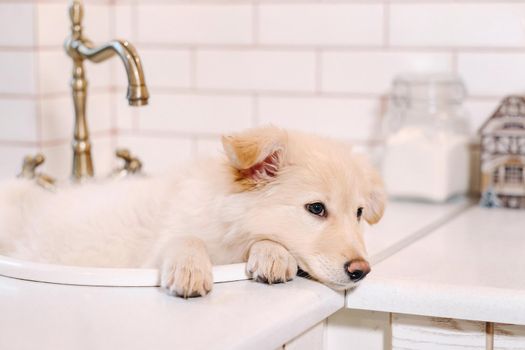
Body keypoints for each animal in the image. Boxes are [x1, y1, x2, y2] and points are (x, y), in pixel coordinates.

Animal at [0, 127, 384, 296]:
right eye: (316, 208)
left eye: (359, 213)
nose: (361, 271)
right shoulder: (154, 251)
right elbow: (185, 239)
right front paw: (190, 269)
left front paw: (272, 253)